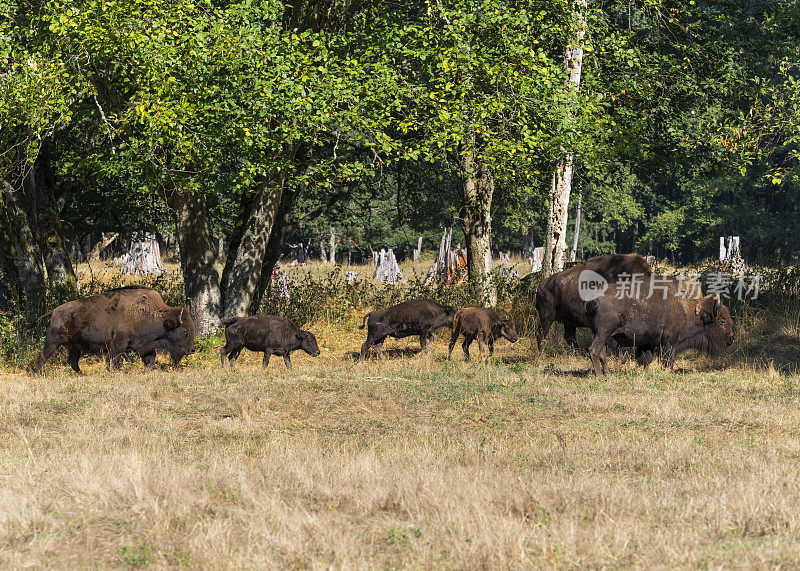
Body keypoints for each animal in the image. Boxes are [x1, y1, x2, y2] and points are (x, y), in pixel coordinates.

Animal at [34, 286, 197, 376]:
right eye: (184, 331)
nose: (192, 350)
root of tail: (54, 311)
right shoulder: (118, 342)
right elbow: (115, 360)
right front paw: (116, 372)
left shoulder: (146, 345)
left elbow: (150, 360)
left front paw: (146, 372)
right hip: (53, 341)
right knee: (43, 356)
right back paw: (38, 375)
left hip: (74, 346)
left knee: (73, 361)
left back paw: (82, 375)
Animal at [584, 280, 736, 378]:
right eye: (722, 321)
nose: (731, 339)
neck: (687, 308)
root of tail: (594, 299)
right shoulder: (670, 341)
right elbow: (667, 358)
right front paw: (670, 372)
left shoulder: (649, 343)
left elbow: (647, 359)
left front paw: (646, 372)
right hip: (603, 333)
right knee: (594, 350)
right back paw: (600, 376)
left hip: (602, 335)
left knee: (601, 353)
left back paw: (608, 374)